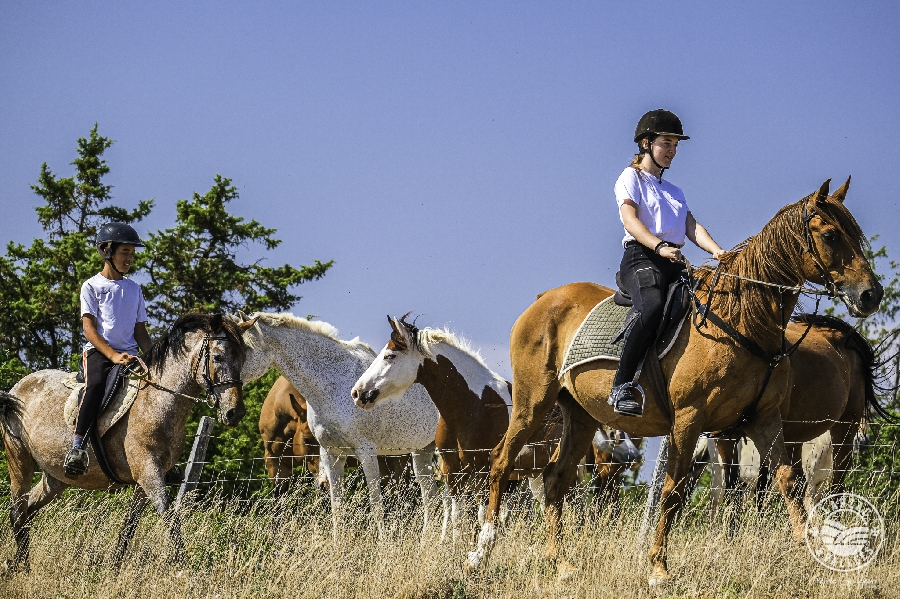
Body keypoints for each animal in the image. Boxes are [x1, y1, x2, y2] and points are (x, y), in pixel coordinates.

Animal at [0, 314, 253, 572]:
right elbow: (169, 517)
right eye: (218, 357)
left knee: (28, 510)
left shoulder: (146, 478)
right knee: (17, 511)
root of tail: (17, 388)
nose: (235, 413)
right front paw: (184, 568)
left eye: (243, 359)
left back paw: (18, 563)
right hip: (18, 458)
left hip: (56, 477)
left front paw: (114, 567)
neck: (157, 402)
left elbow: (129, 526)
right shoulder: (149, 472)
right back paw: (22, 567)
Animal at [468, 179, 884, 584]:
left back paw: (561, 563)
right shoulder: (689, 419)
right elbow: (673, 492)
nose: (871, 294)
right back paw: (481, 553)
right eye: (830, 235)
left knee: (555, 477)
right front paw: (658, 568)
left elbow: (789, 482)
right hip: (533, 402)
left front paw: (814, 556)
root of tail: (543, 299)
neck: (741, 320)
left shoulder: (765, 419)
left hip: (582, 415)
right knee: (501, 461)